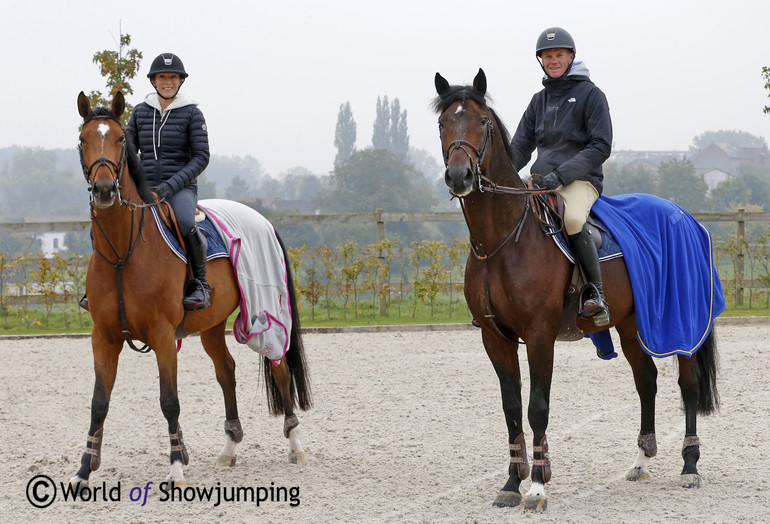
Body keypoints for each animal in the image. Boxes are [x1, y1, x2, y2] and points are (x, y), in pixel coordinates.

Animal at [70, 91, 310, 492]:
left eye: (119, 139)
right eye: (82, 140)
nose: (104, 190)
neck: (123, 253)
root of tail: (262, 219)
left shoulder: (164, 336)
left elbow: (169, 401)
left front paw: (176, 469)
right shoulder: (103, 337)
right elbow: (98, 402)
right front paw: (85, 470)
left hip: (266, 316)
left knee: (279, 370)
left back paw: (295, 446)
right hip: (211, 325)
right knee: (226, 371)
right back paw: (229, 449)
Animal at [432, 70, 720, 512]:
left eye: (481, 121)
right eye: (443, 123)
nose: (460, 176)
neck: (503, 238)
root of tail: (684, 215)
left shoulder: (539, 335)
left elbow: (537, 408)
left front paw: (536, 487)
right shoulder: (495, 338)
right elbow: (511, 409)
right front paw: (511, 484)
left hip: (680, 320)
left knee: (686, 384)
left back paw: (690, 466)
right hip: (631, 324)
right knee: (647, 380)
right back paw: (641, 461)